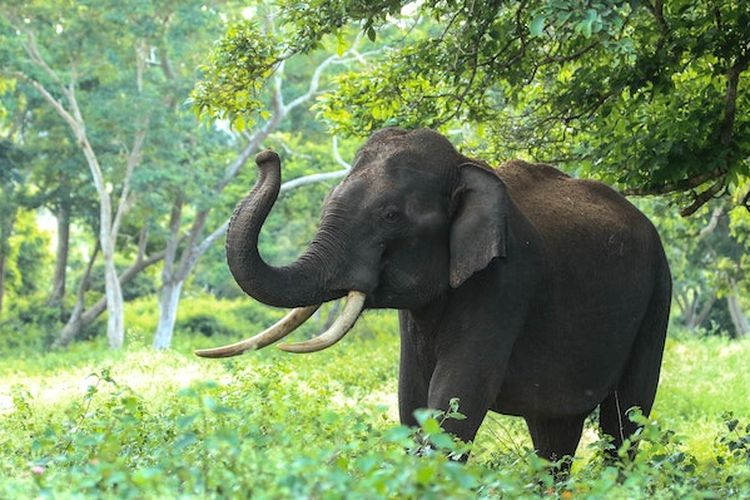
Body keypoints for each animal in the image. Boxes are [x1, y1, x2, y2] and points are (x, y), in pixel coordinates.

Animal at [195, 126, 676, 468]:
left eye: (391, 216)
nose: (265, 155)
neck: (466, 165)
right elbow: (413, 398)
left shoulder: (505, 283)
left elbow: (456, 398)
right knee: (554, 434)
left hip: (658, 296)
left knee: (625, 419)